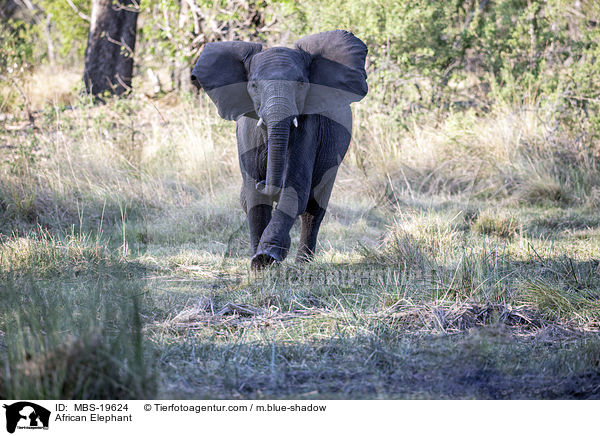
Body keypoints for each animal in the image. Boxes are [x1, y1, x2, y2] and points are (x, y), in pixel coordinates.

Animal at [192, 30, 368, 268]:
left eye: (301, 84)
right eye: (254, 85)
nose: (265, 182)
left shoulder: (309, 127)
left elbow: (295, 188)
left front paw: (267, 257)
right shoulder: (247, 129)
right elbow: (254, 198)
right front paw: (259, 263)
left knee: (314, 209)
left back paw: (303, 264)